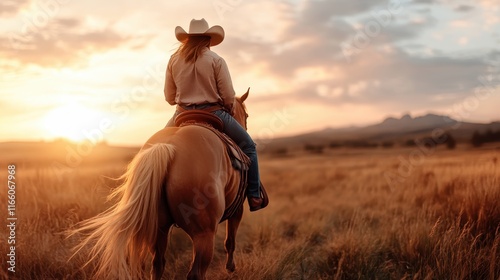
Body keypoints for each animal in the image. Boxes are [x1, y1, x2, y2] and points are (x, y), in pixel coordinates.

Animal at [71, 90, 254, 280]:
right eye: (247, 115)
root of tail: (169, 146)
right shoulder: (238, 209)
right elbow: (230, 240)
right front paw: (231, 267)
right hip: (204, 233)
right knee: (195, 272)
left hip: (160, 228)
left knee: (158, 264)